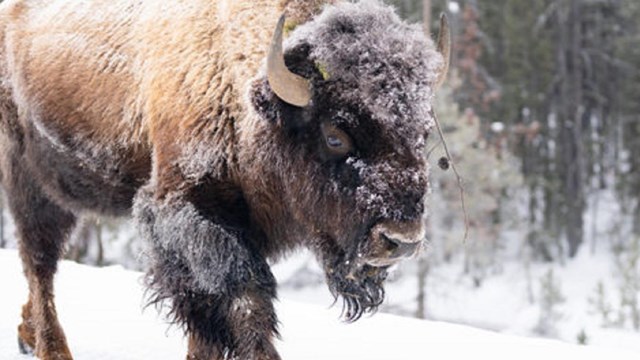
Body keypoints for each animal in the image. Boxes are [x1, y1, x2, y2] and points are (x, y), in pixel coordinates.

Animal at [0, 0, 450, 358]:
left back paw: (27, 334)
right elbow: (244, 303)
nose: (401, 239)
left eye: (423, 132)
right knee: (40, 263)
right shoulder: (191, 216)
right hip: (28, 181)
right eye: (336, 135)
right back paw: (52, 348)